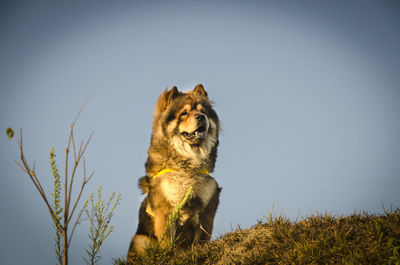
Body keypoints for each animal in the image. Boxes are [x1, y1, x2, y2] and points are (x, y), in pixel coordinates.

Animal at [128, 83, 222, 255]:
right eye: (184, 113)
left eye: (203, 111)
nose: (201, 117)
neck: (188, 168)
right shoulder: (165, 212)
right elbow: (167, 242)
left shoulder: (206, 211)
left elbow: (202, 239)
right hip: (142, 240)